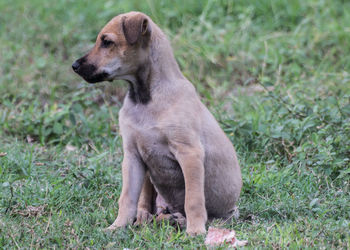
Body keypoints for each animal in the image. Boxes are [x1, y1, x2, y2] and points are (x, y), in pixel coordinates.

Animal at [71, 10, 241, 235]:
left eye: (107, 42)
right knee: (146, 205)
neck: (145, 99)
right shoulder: (132, 156)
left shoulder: (189, 153)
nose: (74, 66)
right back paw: (150, 218)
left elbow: (193, 199)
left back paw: (178, 220)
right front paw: (117, 226)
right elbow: (127, 198)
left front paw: (195, 231)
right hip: (147, 174)